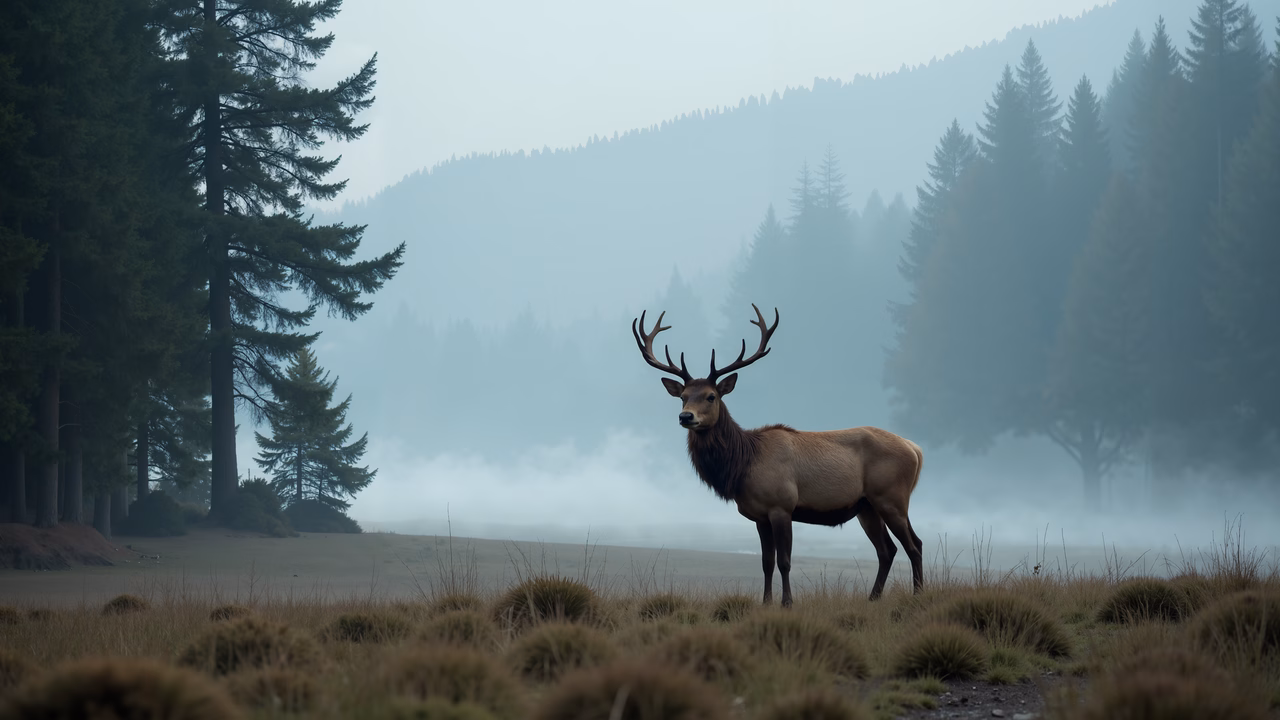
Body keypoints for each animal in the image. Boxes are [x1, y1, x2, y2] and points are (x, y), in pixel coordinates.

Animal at [631, 304, 925, 607]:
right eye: (683, 397)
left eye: (711, 396)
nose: (685, 417)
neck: (742, 465)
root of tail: (915, 449)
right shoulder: (759, 515)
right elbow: (766, 562)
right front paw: (766, 602)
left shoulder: (782, 505)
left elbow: (784, 561)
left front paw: (787, 603)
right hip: (866, 506)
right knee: (887, 549)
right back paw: (873, 598)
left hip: (891, 496)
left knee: (914, 545)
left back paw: (918, 593)